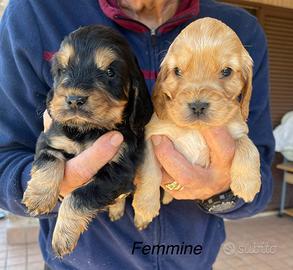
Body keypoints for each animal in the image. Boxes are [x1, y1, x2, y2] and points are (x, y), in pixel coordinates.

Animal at [21, 24, 152, 258]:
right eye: (62, 70)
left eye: (110, 72)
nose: (74, 100)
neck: (87, 131)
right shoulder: (50, 139)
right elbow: (48, 161)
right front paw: (39, 196)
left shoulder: (118, 172)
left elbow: (80, 195)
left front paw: (62, 235)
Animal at [132, 17, 260, 230]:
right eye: (177, 71)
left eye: (227, 71)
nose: (198, 106)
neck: (196, 130)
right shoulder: (152, 136)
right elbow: (150, 173)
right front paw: (145, 207)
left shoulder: (238, 128)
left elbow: (249, 146)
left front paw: (248, 183)